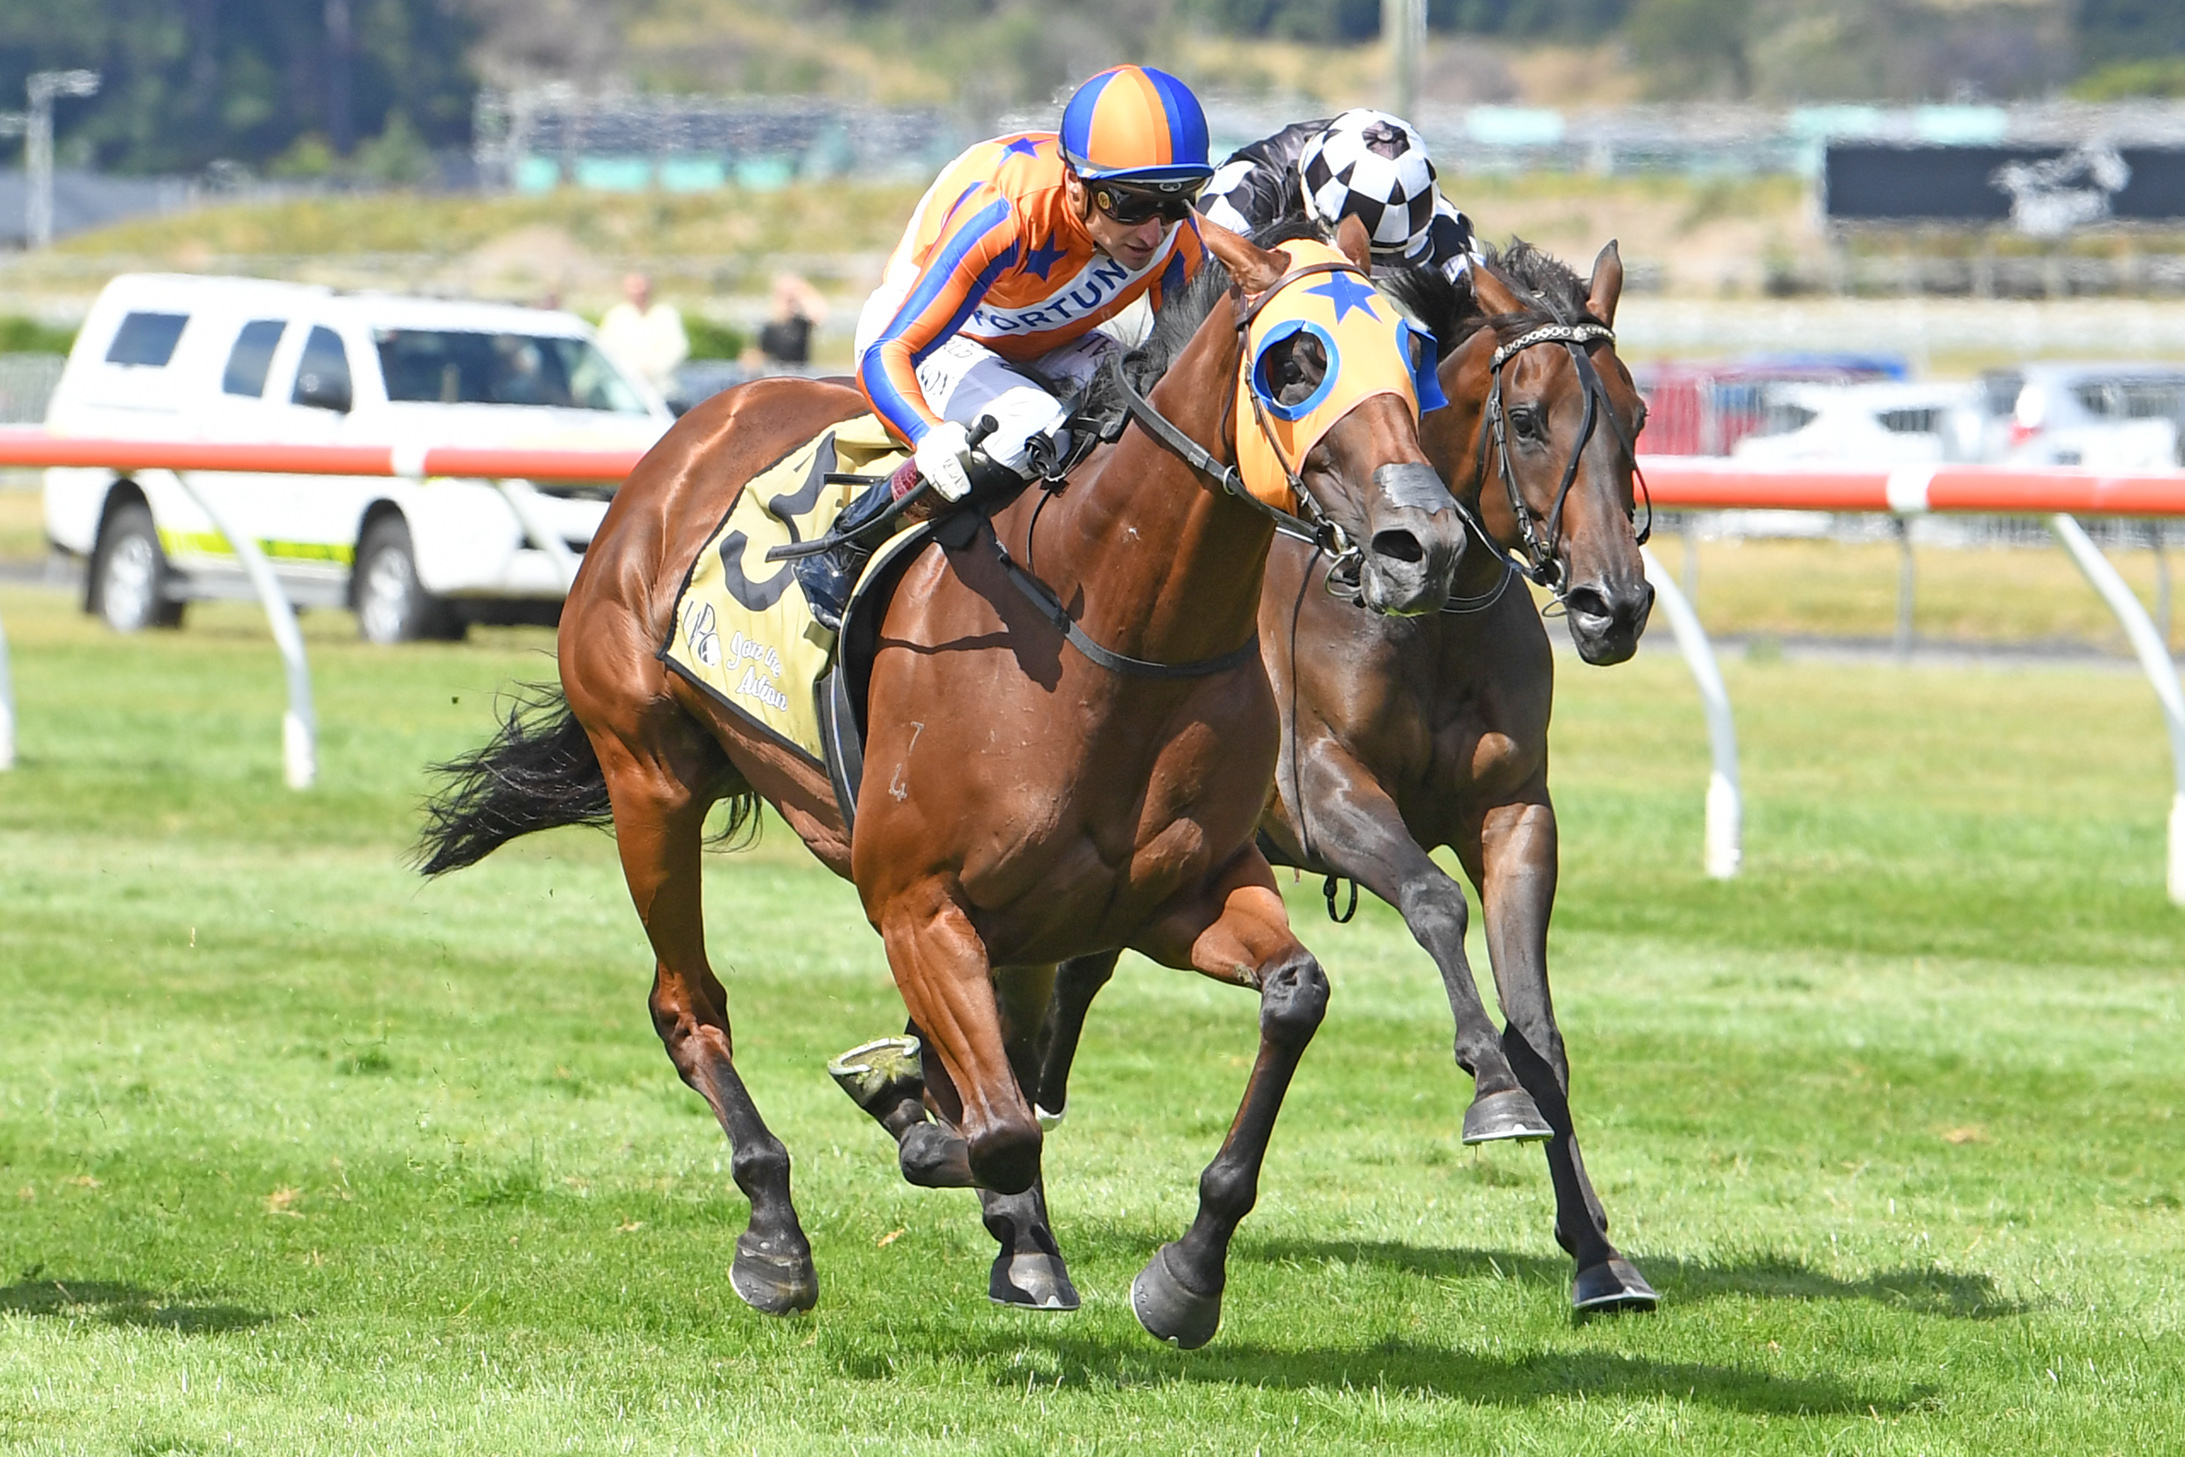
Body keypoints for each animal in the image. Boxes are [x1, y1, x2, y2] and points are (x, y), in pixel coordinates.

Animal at [410, 219, 1468, 1354]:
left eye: (1416, 354)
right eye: (1295, 362)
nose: (1424, 545)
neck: (1107, 627)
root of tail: (686, 434)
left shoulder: (1177, 893)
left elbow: (1288, 997)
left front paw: (1183, 1273)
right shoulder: (917, 903)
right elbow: (999, 1125)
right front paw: (930, 1138)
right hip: (650, 776)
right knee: (688, 1006)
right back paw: (777, 1233)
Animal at [847, 237, 1651, 1310]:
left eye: (1636, 415)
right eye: (1527, 420)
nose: (1616, 606)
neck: (1428, 621)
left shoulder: (1515, 810)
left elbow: (1540, 1023)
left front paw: (1596, 1250)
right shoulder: (1320, 794)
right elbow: (1434, 901)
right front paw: (1490, 1086)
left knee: (1061, 969)